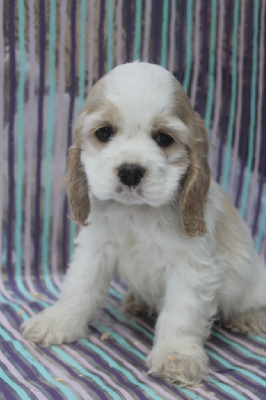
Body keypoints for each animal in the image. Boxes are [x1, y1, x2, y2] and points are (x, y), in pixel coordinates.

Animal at [22, 63, 266, 388]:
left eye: (163, 138)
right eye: (104, 132)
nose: (130, 171)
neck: (137, 212)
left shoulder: (192, 266)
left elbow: (180, 314)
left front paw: (176, 356)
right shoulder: (96, 247)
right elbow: (79, 287)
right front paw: (58, 320)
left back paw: (249, 317)